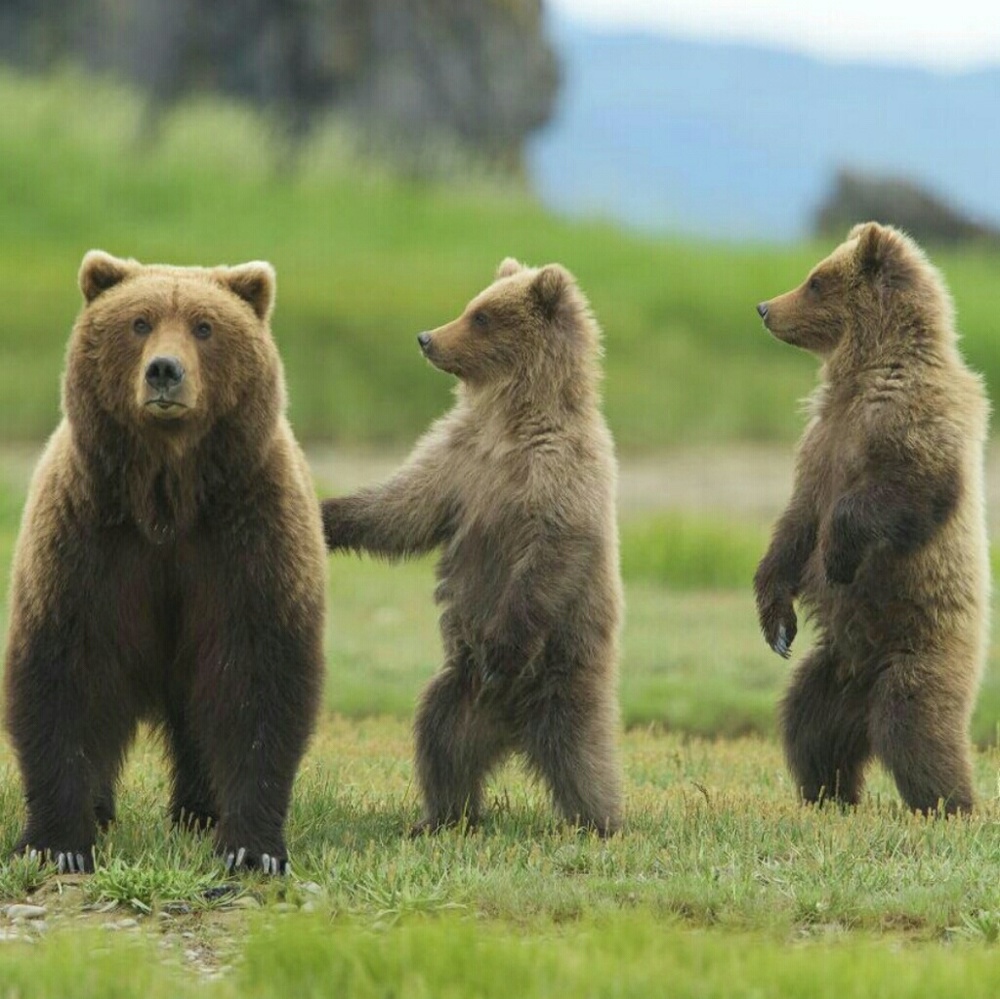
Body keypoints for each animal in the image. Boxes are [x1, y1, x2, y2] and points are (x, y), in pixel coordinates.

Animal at [3, 250, 326, 874]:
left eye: (204, 326)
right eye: (140, 322)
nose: (164, 372)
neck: (166, 497)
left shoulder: (245, 542)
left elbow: (256, 678)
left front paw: (252, 848)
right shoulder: (90, 542)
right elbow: (67, 674)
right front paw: (58, 843)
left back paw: (198, 809)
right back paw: (104, 807)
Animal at [321, 258, 624, 835]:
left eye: (481, 316)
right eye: (471, 306)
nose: (426, 338)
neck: (509, 420)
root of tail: (511, 726)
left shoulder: (560, 473)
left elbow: (551, 552)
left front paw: (503, 649)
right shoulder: (460, 461)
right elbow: (403, 508)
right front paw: (328, 515)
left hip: (566, 675)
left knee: (583, 756)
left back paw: (601, 821)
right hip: (458, 692)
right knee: (440, 738)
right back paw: (440, 816)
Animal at [753, 222, 990, 815]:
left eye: (815, 280)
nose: (765, 307)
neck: (863, 371)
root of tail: (865, 684)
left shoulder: (911, 418)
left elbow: (906, 491)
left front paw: (838, 555)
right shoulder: (821, 443)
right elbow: (796, 523)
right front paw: (776, 623)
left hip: (922, 649)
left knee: (917, 727)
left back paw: (953, 804)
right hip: (833, 669)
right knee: (808, 724)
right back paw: (828, 792)